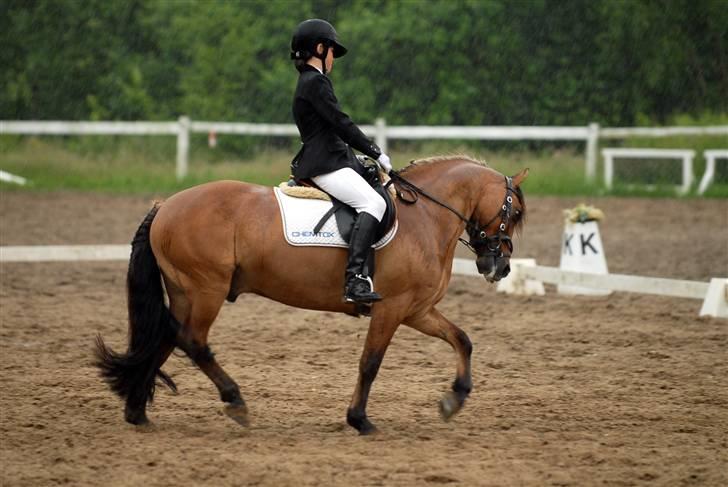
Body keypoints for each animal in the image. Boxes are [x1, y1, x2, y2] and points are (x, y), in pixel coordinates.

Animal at [96, 155, 528, 434]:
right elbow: (370, 363)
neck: (423, 216)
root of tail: (165, 204)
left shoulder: (416, 309)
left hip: (185, 291)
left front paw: (454, 400)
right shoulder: (392, 308)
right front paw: (359, 420)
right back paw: (235, 402)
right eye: (514, 213)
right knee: (193, 341)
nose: (500, 267)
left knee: (166, 337)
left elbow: (462, 339)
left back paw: (137, 412)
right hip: (207, 289)